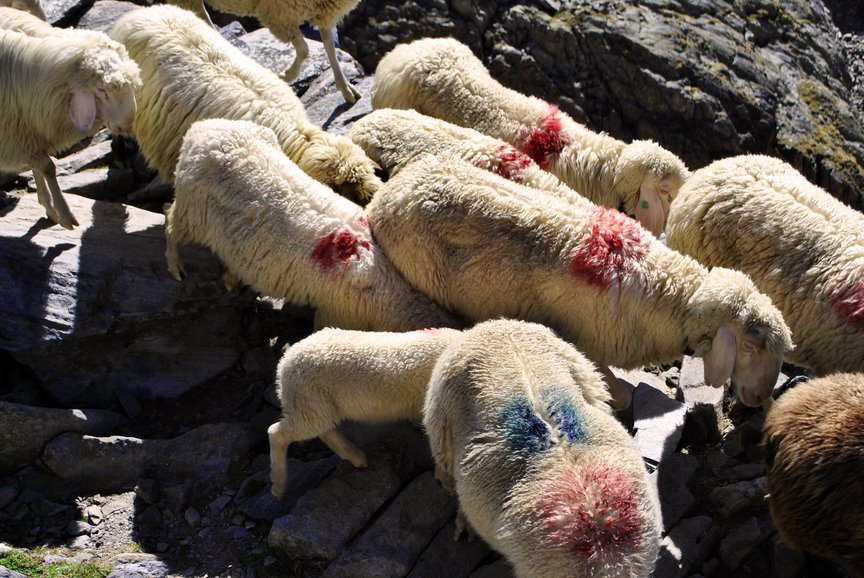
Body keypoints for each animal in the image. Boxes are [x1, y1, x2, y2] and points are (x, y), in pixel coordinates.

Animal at [0, 26, 141, 229]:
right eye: (101, 89)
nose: (126, 125)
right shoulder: (14, 135)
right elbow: (48, 167)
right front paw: (65, 215)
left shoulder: (27, 133)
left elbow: (39, 166)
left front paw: (50, 208)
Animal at [168, 118, 459, 337]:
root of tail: (203, 128)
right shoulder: (336, 313)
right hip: (191, 209)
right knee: (170, 224)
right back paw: (176, 267)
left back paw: (230, 277)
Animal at [268, 326, 461, 499]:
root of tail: (283, 366)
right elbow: (442, 448)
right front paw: (447, 483)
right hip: (310, 397)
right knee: (278, 432)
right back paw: (278, 487)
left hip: (313, 403)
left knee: (322, 428)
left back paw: (356, 457)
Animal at [365, 154, 793, 408]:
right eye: (750, 346)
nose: (759, 399)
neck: (665, 288)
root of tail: (397, 187)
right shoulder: (588, 342)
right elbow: (619, 396)